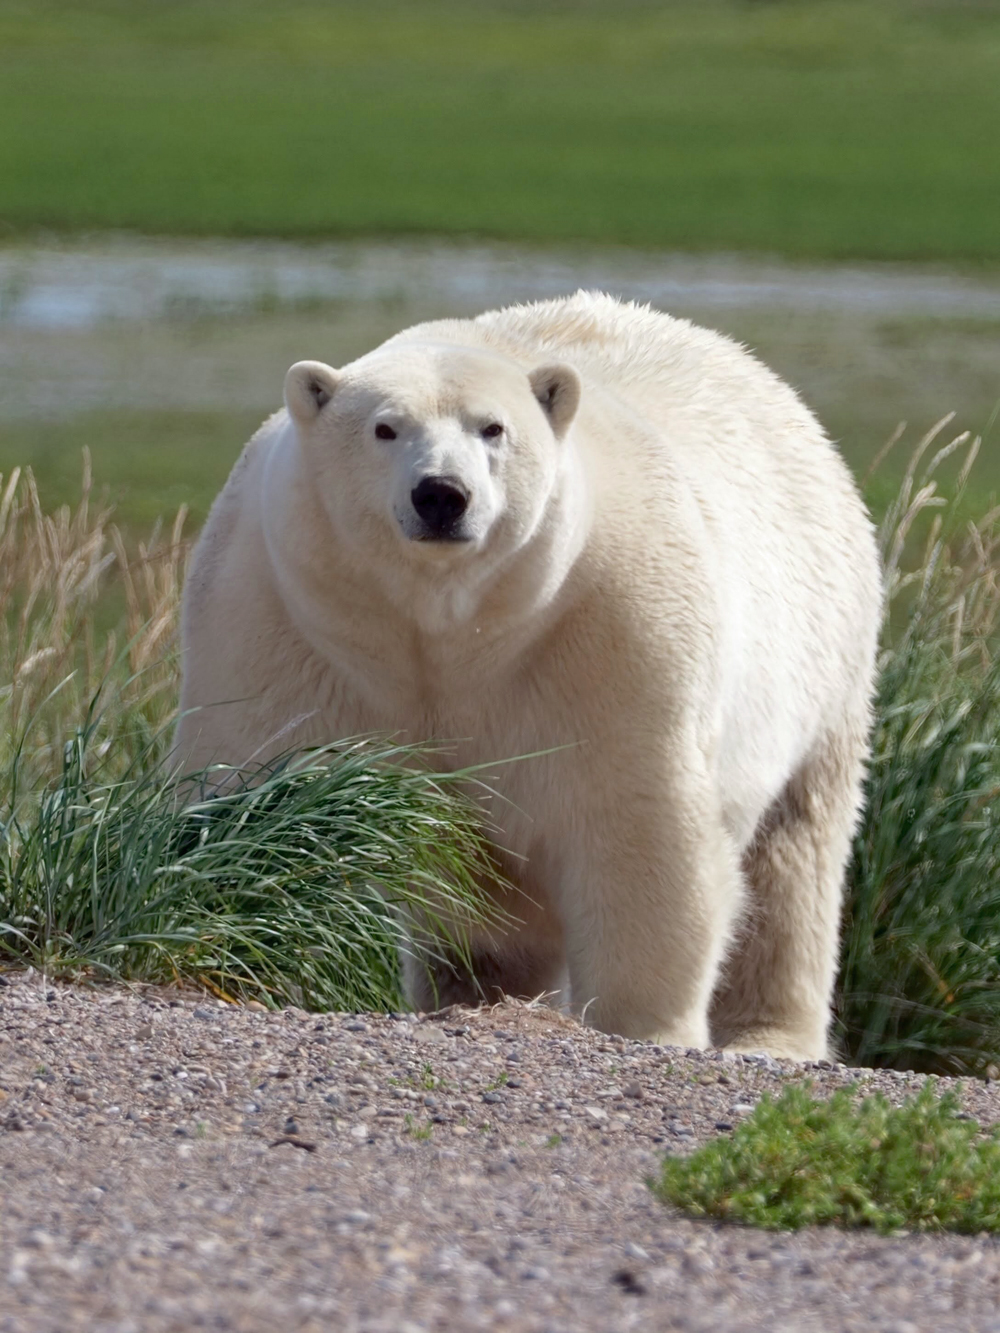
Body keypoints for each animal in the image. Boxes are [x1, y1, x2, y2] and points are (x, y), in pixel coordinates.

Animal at [175, 291, 882, 1061]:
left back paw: (768, 1036)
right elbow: (255, 795)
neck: (441, 629)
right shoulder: (281, 620)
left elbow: (638, 825)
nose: (441, 494)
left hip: (826, 657)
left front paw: (647, 1025)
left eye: (494, 428)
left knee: (794, 854)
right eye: (384, 427)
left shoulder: (605, 627)